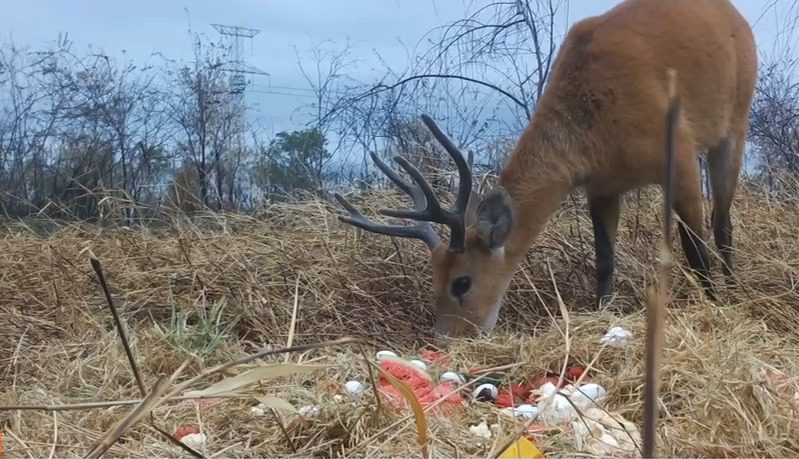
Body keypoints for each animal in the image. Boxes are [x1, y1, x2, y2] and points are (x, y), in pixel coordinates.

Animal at [334, 0, 760, 338]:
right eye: (433, 277)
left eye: (462, 282)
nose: (446, 339)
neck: (596, 122)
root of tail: (735, 15)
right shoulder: (602, 185)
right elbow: (604, 261)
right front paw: (603, 313)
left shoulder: (680, 153)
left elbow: (696, 249)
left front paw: (714, 306)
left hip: (735, 123)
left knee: (722, 223)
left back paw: (733, 290)